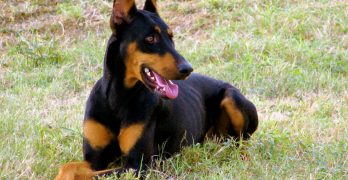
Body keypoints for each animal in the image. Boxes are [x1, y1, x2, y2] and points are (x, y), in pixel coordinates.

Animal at [55, 0, 258, 179]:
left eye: (171, 36)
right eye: (150, 38)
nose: (187, 69)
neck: (117, 98)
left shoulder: (137, 165)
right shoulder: (94, 159)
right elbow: (69, 167)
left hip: (231, 98)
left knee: (243, 142)